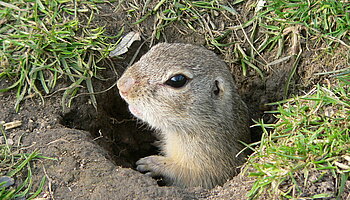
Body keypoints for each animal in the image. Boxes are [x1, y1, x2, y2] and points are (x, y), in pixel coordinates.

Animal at [117, 43, 252, 188]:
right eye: (155, 47)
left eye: (177, 80)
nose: (122, 84)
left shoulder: (210, 158)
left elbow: (190, 175)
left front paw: (153, 163)